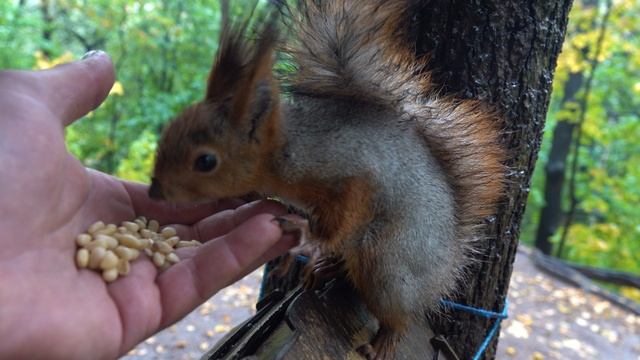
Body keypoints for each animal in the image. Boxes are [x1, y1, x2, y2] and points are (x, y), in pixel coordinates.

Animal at [149, 1, 504, 358]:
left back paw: (383, 341)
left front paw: (311, 240)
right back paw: (328, 269)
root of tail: (447, 266)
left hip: (388, 266)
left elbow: (348, 209)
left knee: (398, 315)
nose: (154, 192)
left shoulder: (349, 173)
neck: (282, 150)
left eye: (206, 161)